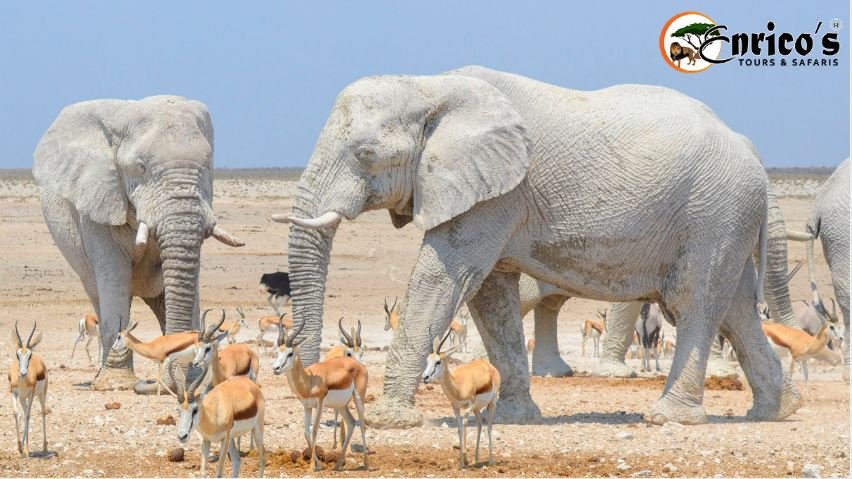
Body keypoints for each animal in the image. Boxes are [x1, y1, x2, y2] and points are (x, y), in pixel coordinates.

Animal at [33, 96, 244, 391]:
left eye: (208, 167)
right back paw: (101, 376)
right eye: (141, 167)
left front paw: (189, 379)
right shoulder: (98, 203)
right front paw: (116, 384)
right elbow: (113, 276)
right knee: (100, 298)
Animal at [274, 66, 800, 428]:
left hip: (715, 212)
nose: (321, 384)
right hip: (728, 218)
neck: (431, 87)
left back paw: (668, 417)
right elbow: (490, 295)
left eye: (365, 154)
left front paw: (391, 421)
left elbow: (442, 277)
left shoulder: (495, 194)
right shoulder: (492, 194)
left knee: (696, 303)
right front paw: (514, 417)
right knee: (737, 309)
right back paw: (776, 410)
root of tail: (752, 152)